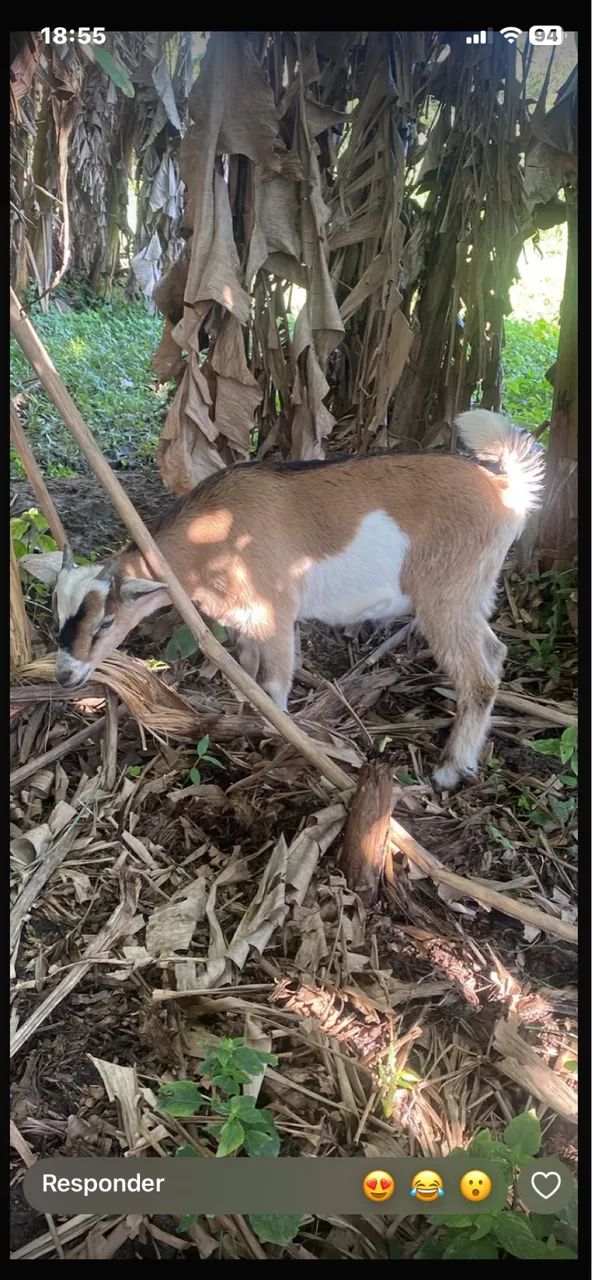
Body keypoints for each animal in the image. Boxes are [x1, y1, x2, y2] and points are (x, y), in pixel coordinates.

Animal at [43, 410, 543, 788]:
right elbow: (246, 673)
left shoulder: (275, 612)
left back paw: (449, 770)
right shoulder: (244, 620)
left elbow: (276, 684)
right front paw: (242, 718)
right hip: (472, 591)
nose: (65, 676)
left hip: (447, 592)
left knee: (479, 677)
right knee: (495, 651)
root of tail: (505, 491)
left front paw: (278, 740)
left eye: (105, 624)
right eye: (58, 617)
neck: (212, 538)